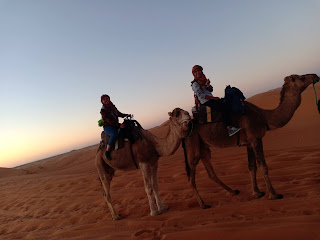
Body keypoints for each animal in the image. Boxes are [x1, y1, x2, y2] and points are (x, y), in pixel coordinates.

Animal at [182, 73, 320, 208]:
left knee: (211, 173)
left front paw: (257, 193)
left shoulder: (249, 143)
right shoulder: (256, 139)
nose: (315, 76)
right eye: (301, 77)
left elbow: (251, 166)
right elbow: (262, 166)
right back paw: (203, 204)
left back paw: (233, 191)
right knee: (191, 178)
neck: (264, 117)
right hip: (193, 147)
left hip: (203, 147)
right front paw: (273, 194)